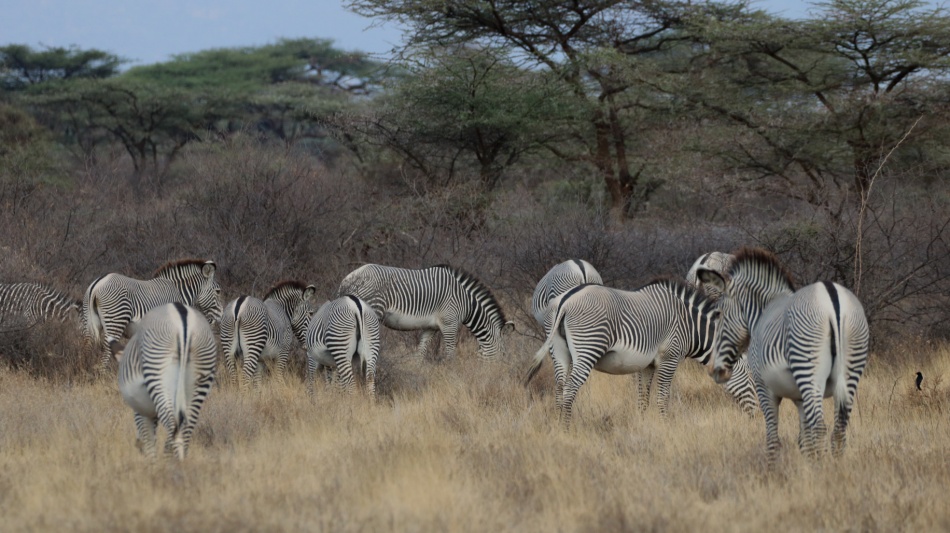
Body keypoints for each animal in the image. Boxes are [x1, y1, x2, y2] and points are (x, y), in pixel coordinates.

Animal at [82, 259, 222, 370]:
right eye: (218, 291)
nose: (220, 316)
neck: (179, 293)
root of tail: (98, 284)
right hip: (115, 319)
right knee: (106, 351)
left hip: (88, 321)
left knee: (87, 345)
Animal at [117, 302, 218, 461]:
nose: (137, 445)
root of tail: (183, 318)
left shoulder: (142, 409)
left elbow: (149, 438)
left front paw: (152, 462)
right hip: (202, 371)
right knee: (186, 428)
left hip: (158, 371)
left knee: (172, 424)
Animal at [337, 264, 512, 359]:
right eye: (503, 354)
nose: (499, 374)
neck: (466, 302)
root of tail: (347, 279)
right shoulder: (450, 324)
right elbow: (450, 354)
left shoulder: (430, 328)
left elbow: (420, 354)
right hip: (371, 312)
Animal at [526, 279, 719, 428]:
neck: (689, 326)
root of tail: (566, 300)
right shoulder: (669, 358)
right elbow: (662, 397)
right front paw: (666, 426)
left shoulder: (647, 365)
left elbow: (643, 398)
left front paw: (642, 426)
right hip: (588, 346)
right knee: (569, 389)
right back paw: (566, 428)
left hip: (559, 350)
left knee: (559, 387)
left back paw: (557, 425)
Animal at [698, 248, 870, 462]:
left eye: (718, 314)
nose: (714, 370)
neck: (761, 313)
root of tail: (832, 295)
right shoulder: (799, 398)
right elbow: (805, 439)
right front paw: (808, 465)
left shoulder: (764, 387)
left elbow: (773, 438)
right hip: (851, 369)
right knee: (838, 431)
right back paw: (835, 468)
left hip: (809, 372)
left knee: (820, 427)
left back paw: (824, 469)